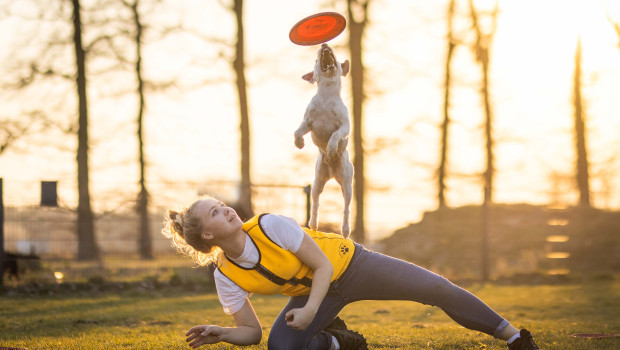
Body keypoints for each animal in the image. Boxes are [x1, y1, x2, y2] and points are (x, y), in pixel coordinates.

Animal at [294, 42, 352, 237]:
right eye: (316, 60)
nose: (325, 44)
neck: (327, 95)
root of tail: (332, 174)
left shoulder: (344, 127)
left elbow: (335, 135)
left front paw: (332, 147)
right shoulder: (308, 123)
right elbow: (297, 132)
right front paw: (299, 143)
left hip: (347, 184)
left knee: (347, 208)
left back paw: (345, 230)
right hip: (317, 181)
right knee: (316, 203)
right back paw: (313, 224)